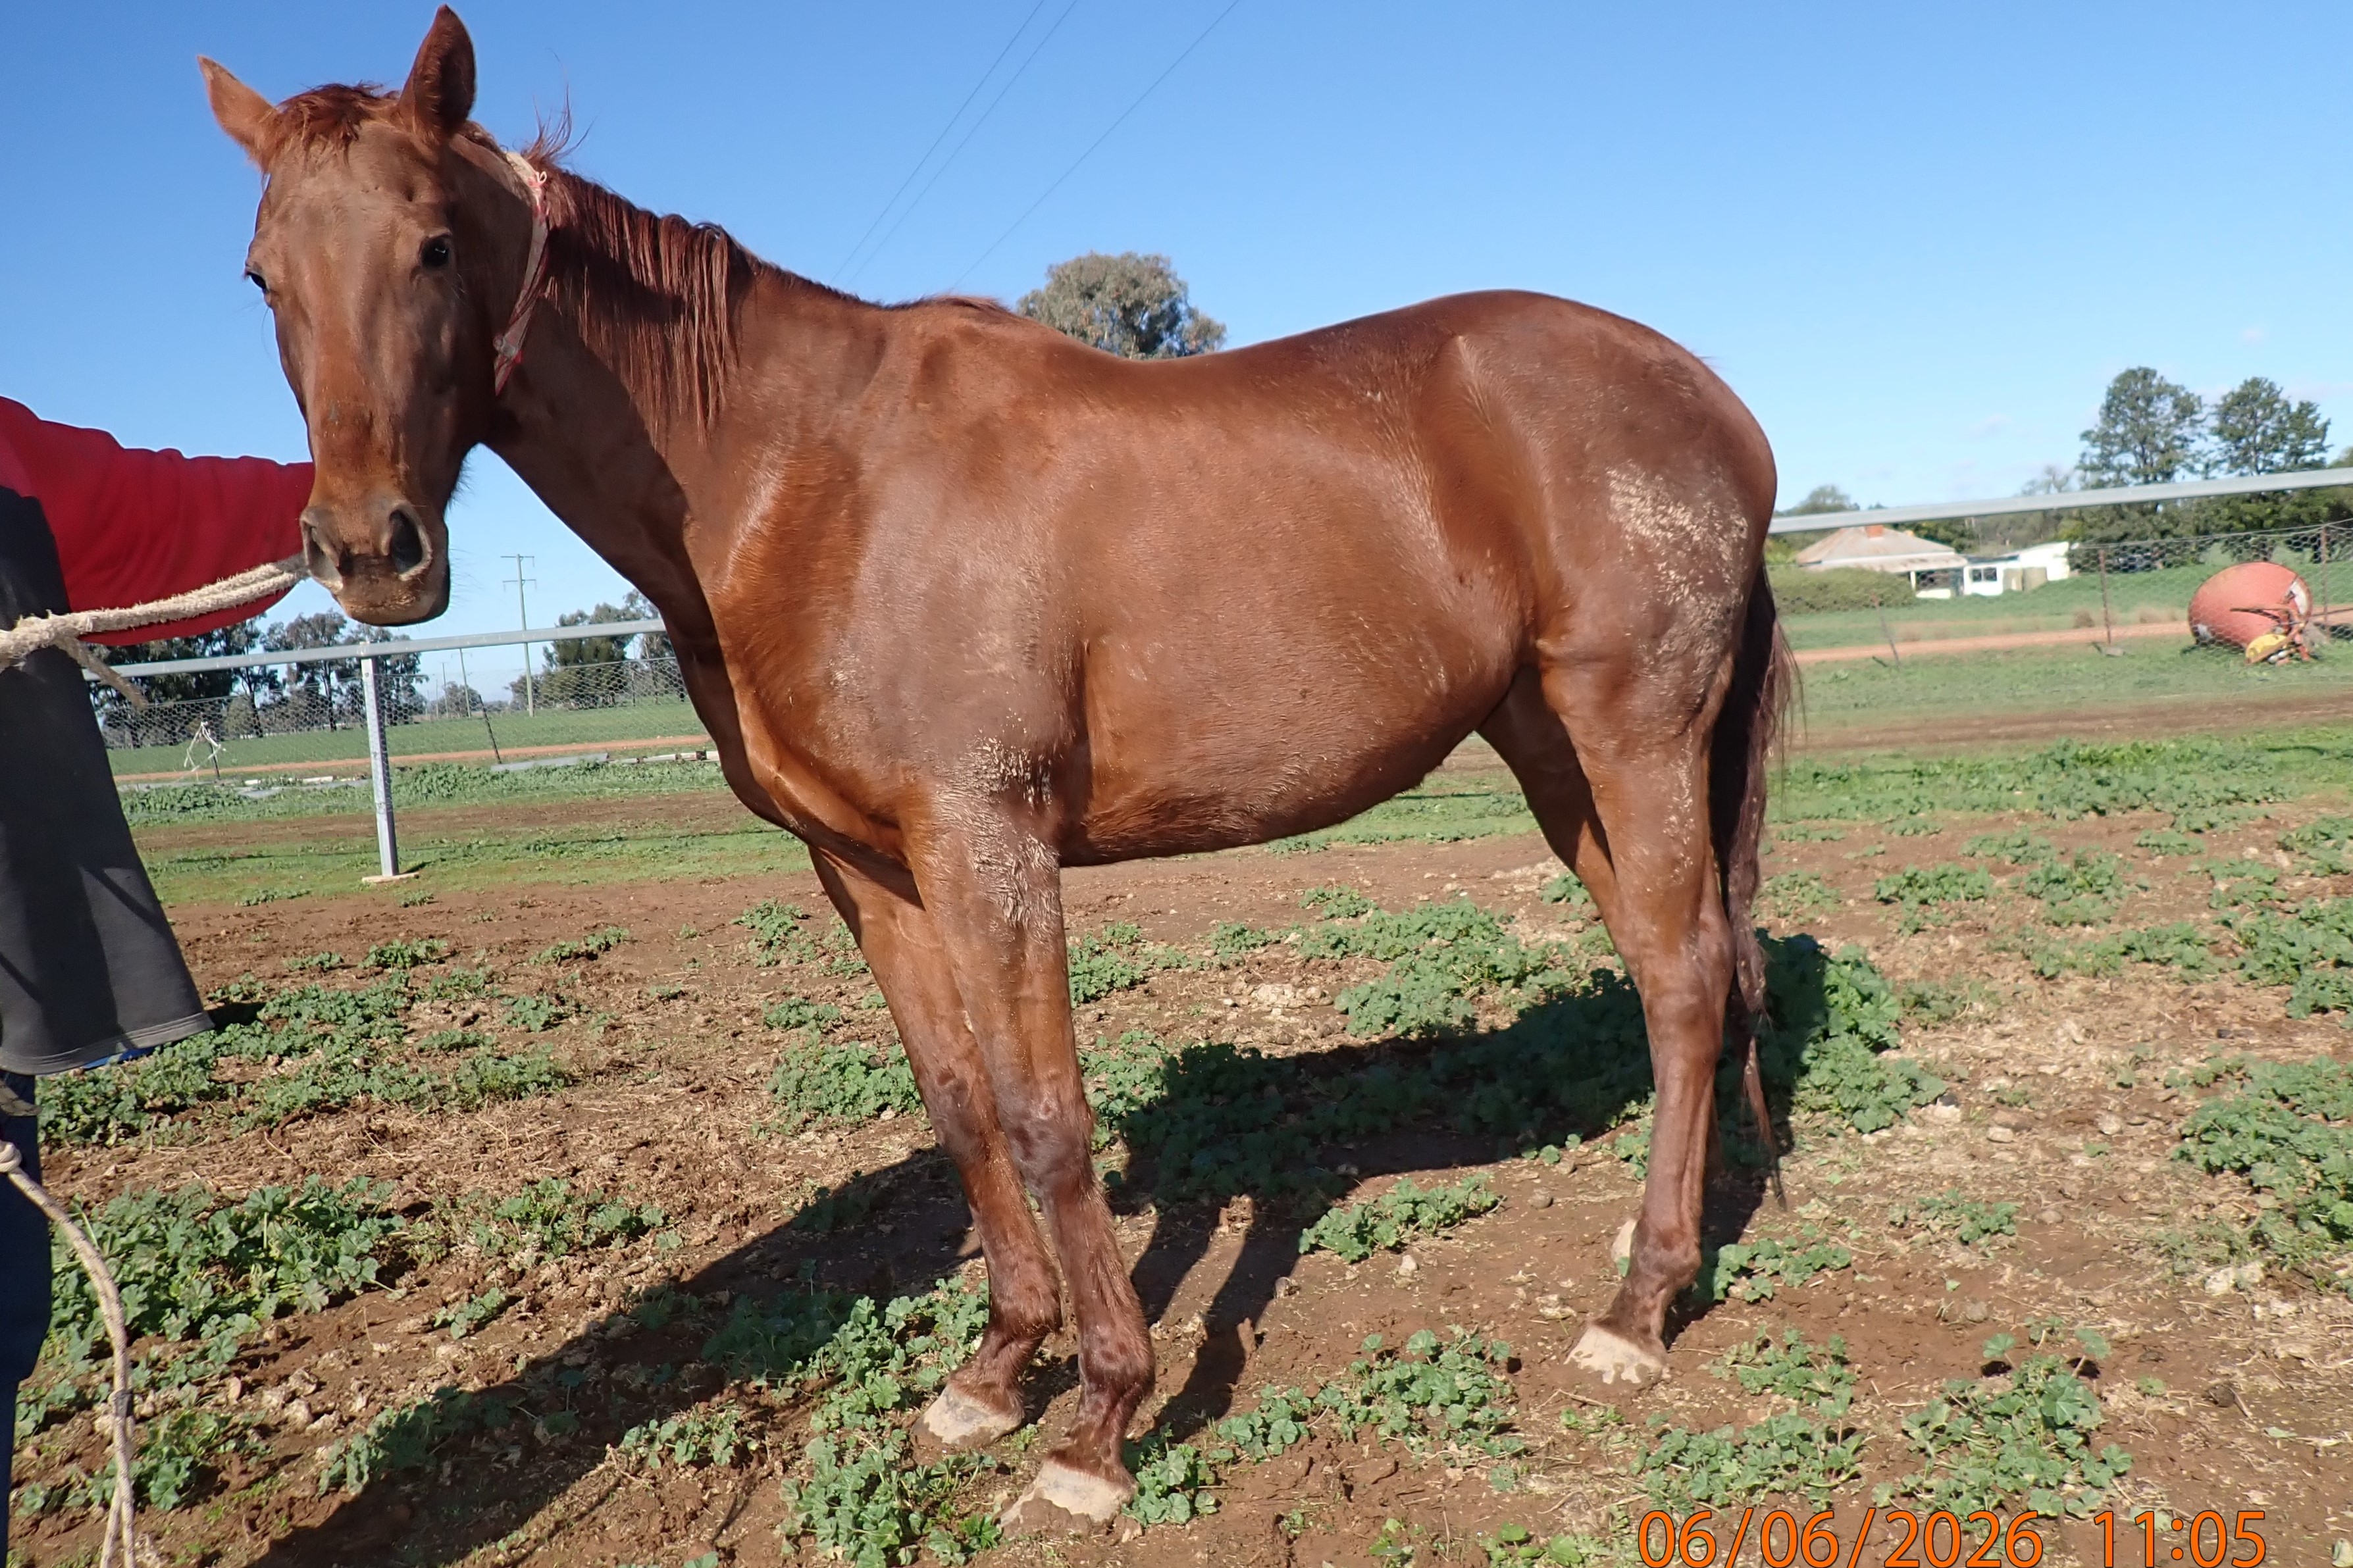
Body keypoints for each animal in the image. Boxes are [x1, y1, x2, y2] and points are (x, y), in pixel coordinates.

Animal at [202, 7, 1790, 1525]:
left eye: (433, 244)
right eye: (263, 278)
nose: (369, 551)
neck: (801, 475)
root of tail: (1712, 401)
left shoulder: (987, 841)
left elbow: (1043, 1118)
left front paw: (1098, 1422)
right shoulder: (869, 866)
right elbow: (961, 1108)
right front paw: (995, 1369)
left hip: (1632, 733)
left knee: (1681, 977)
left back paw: (1637, 1306)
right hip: (1550, 751)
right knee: (1686, 973)